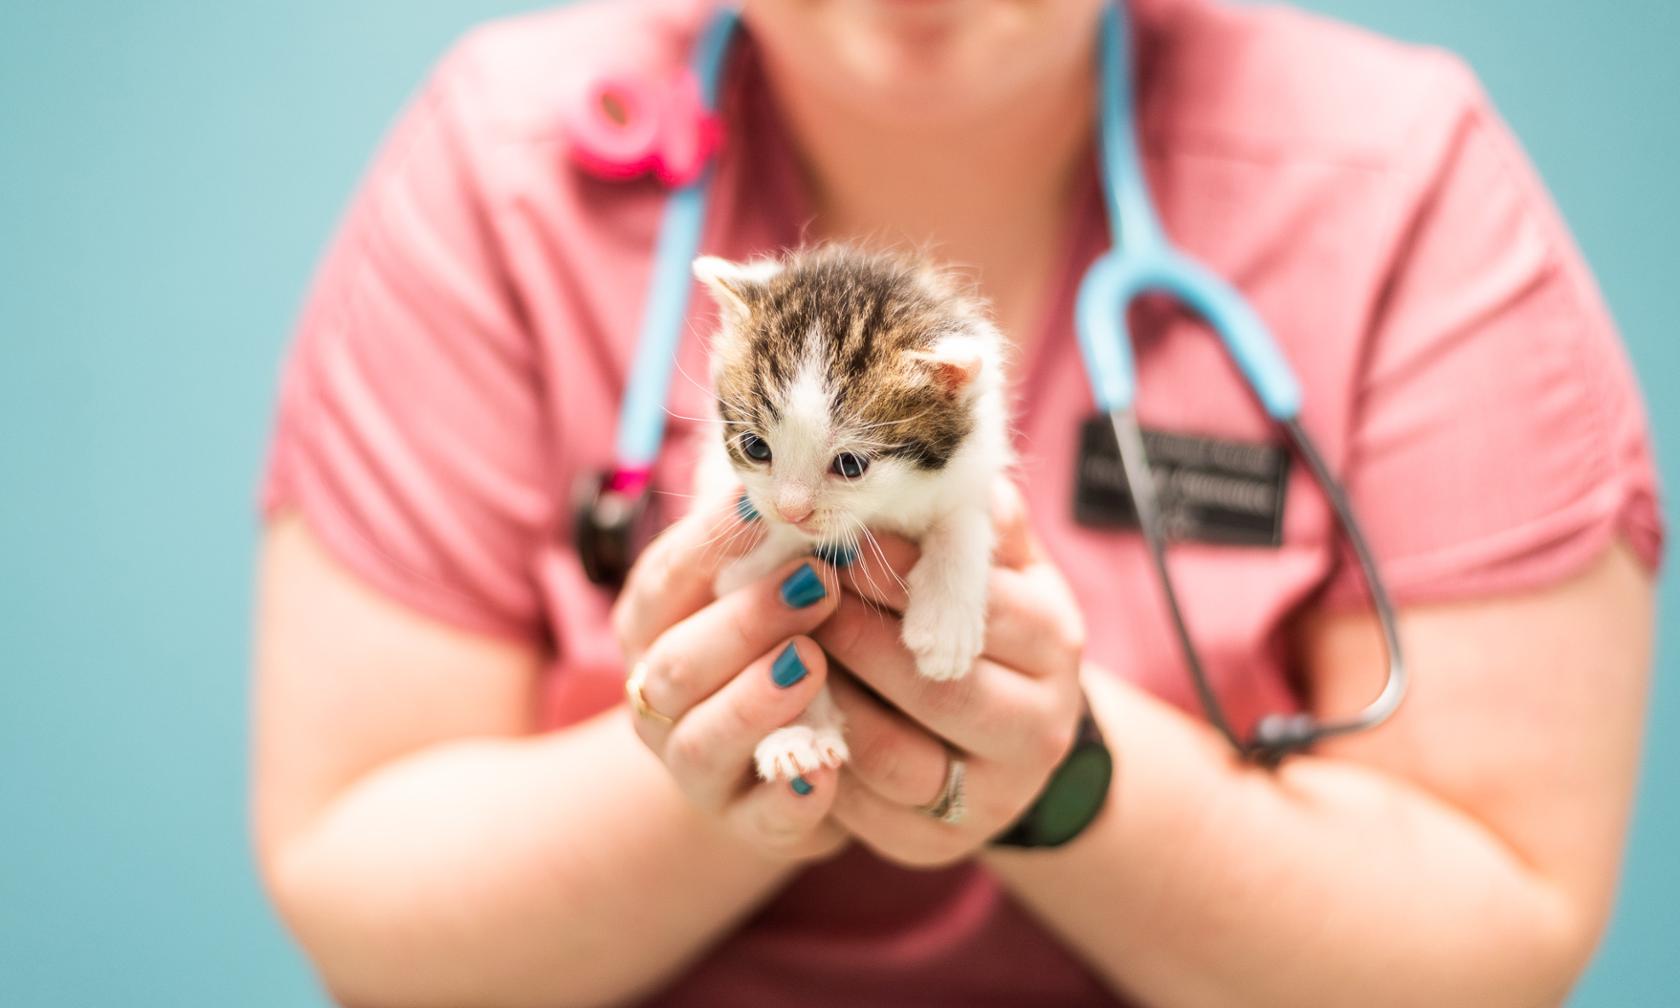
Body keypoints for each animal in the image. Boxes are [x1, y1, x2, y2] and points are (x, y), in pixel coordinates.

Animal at [685, 248, 1001, 782]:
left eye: (850, 465)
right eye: (755, 447)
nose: (791, 510)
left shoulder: (972, 470)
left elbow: (965, 517)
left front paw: (946, 628)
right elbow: (788, 638)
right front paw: (798, 734)